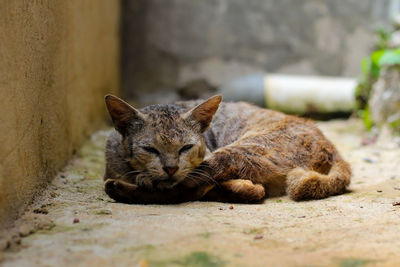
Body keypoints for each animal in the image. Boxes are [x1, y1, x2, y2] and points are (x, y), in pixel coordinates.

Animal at [103, 95, 350, 204]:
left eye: (186, 147)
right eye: (150, 149)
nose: (170, 168)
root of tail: (333, 149)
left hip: (243, 149)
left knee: (189, 186)